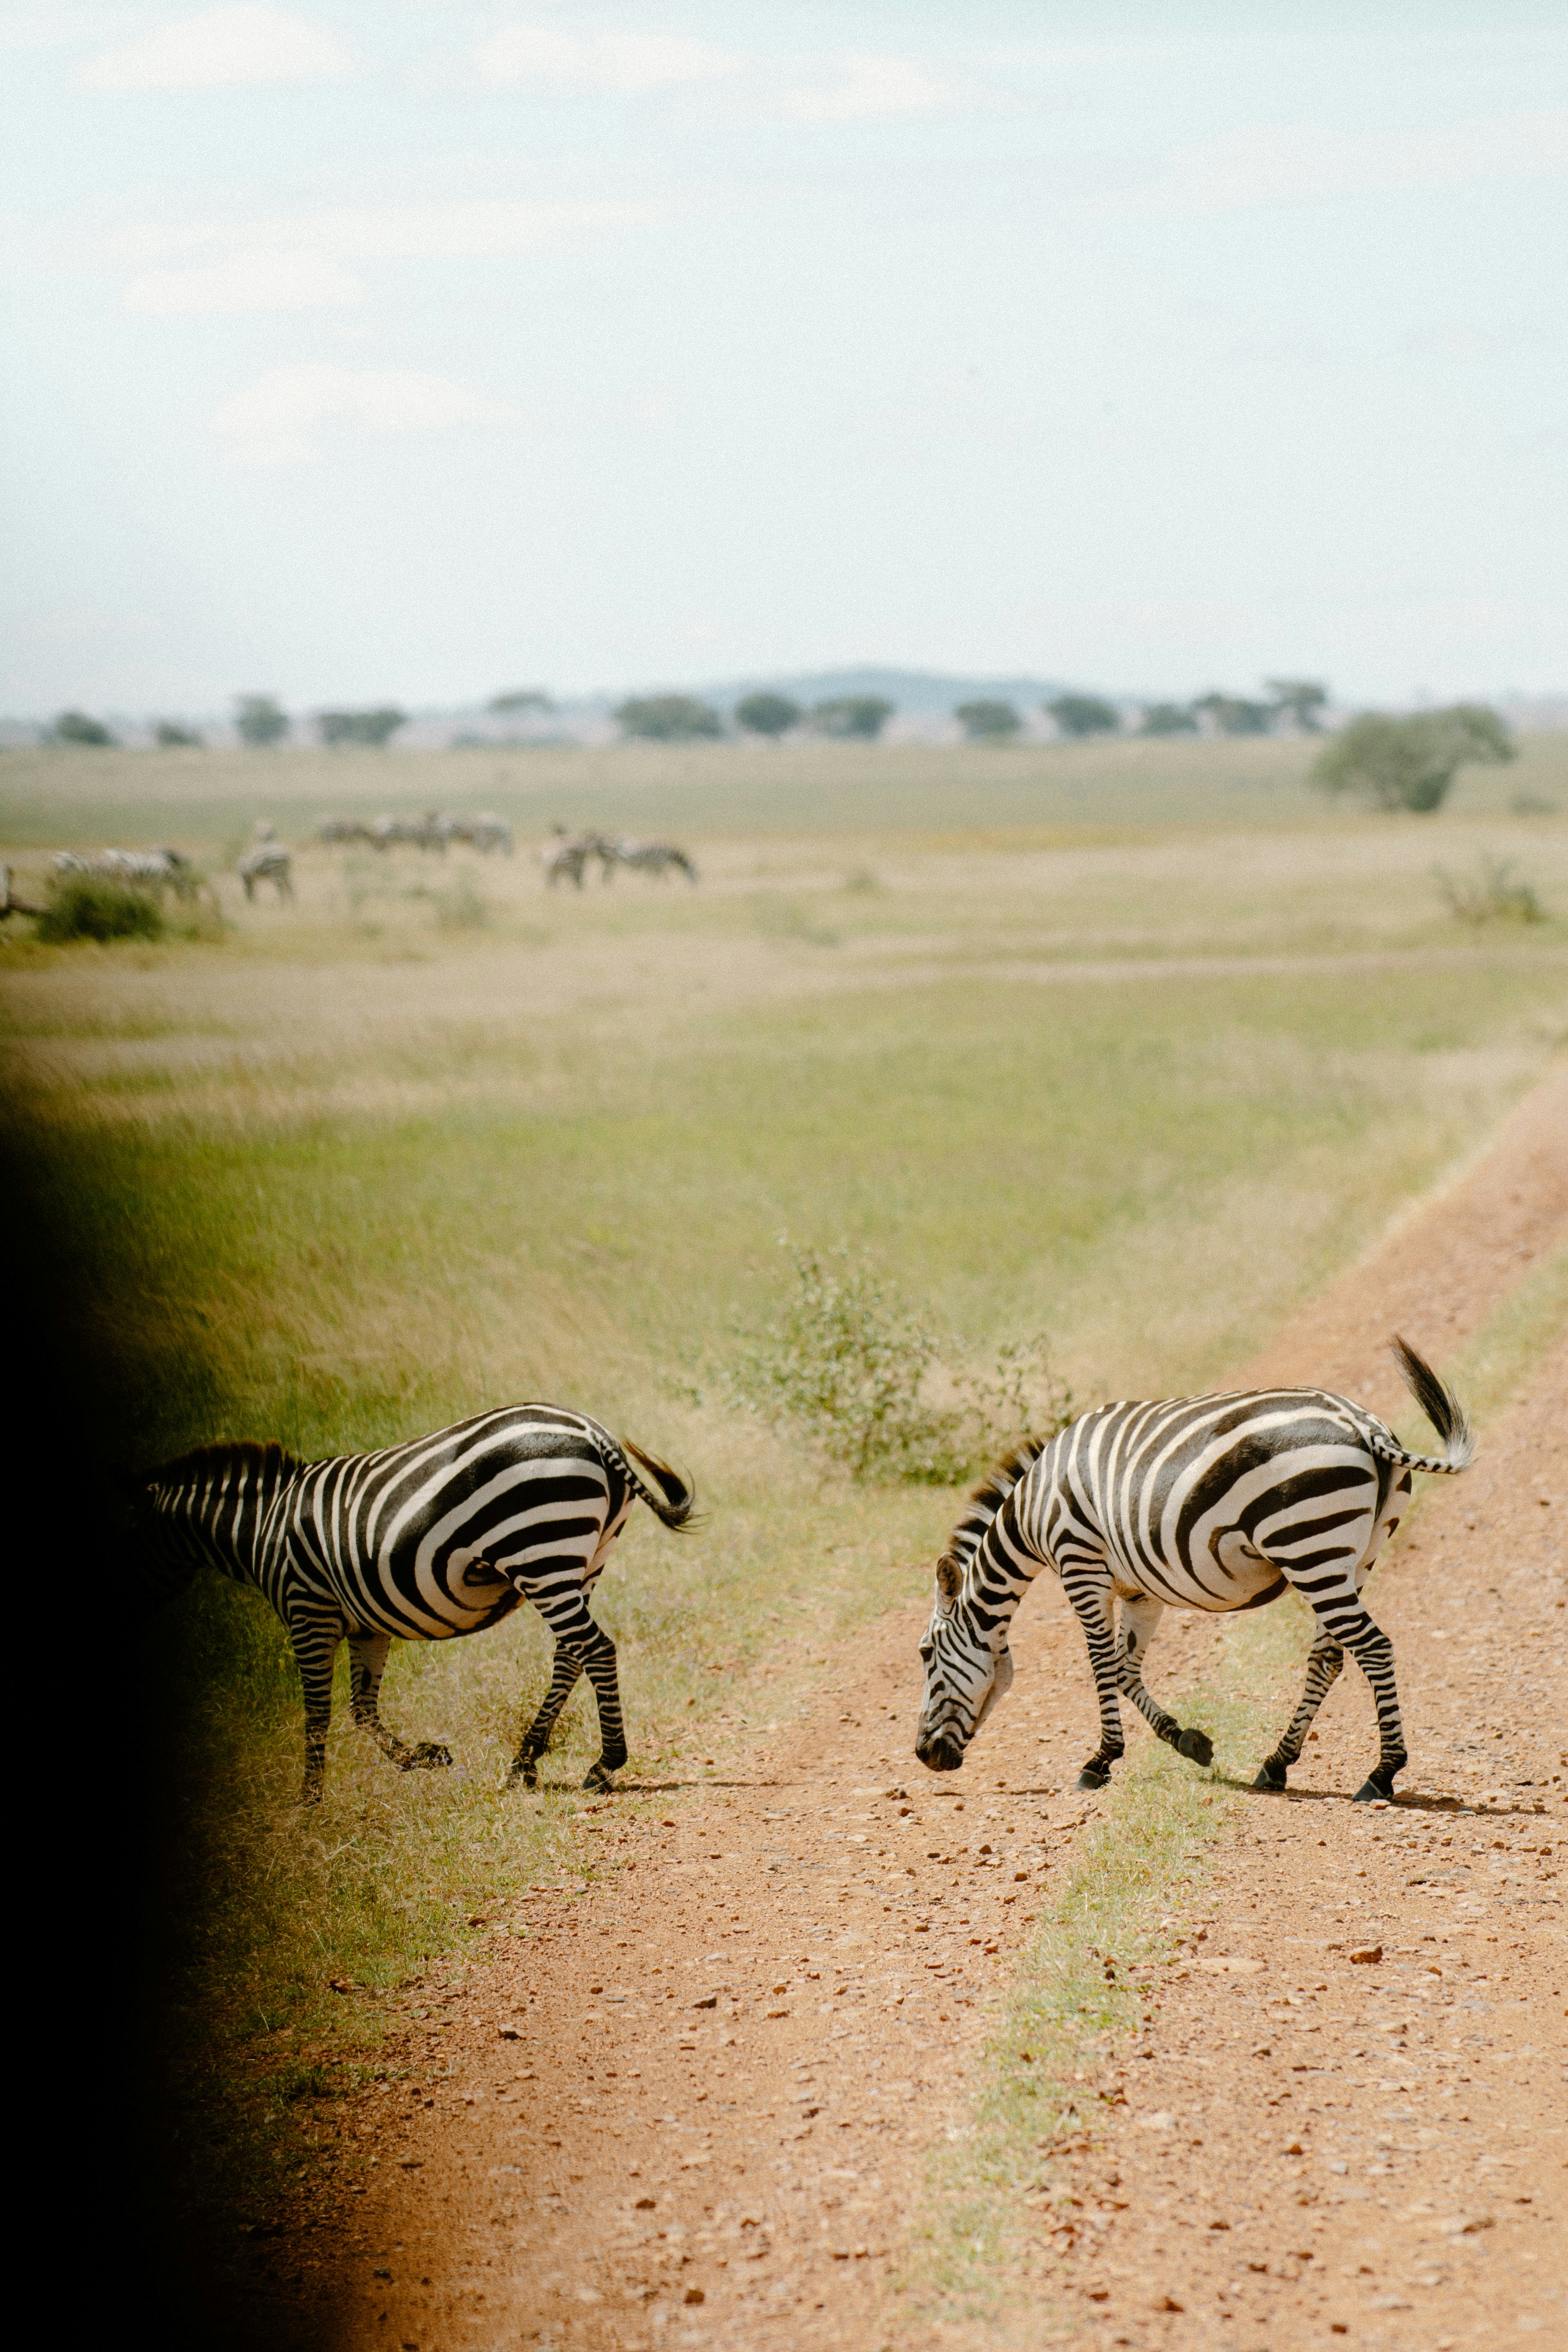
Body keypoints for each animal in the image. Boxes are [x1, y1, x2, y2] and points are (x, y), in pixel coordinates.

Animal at [125, 1405, 695, 1803]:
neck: (262, 1527)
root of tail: (593, 1432)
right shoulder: (367, 1627)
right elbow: (361, 1709)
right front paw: (424, 1756)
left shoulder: (308, 1608)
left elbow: (317, 1713)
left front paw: (308, 1802)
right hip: (584, 1558)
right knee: (569, 1654)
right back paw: (524, 1761)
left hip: (539, 1551)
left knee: (594, 1649)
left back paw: (604, 1763)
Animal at [914, 1338, 1473, 1805]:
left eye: (925, 1655)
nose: (924, 1757)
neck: (1033, 1510)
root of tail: (1363, 1424)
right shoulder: (1139, 1591)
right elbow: (1125, 1667)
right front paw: (1187, 1741)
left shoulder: (1081, 1565)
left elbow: (1101, 1666)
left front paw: (1099, 1761)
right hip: (1354, 1558)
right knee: (1329, 1657)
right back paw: (1277, 1763)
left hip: (1309, 1546)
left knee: (1374, 1648)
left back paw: (1382, 1774)